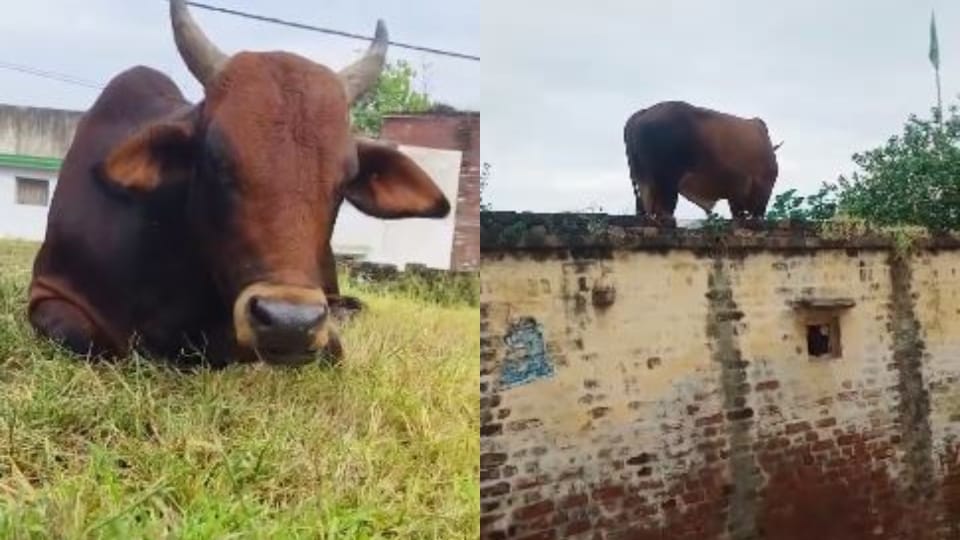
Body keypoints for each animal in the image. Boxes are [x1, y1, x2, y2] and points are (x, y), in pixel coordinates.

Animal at [623, 101, 782, 220]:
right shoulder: (763, 188)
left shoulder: (736, 196)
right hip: (665, 181)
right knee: (663, 209)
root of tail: (643, 113)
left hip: (643, 180)